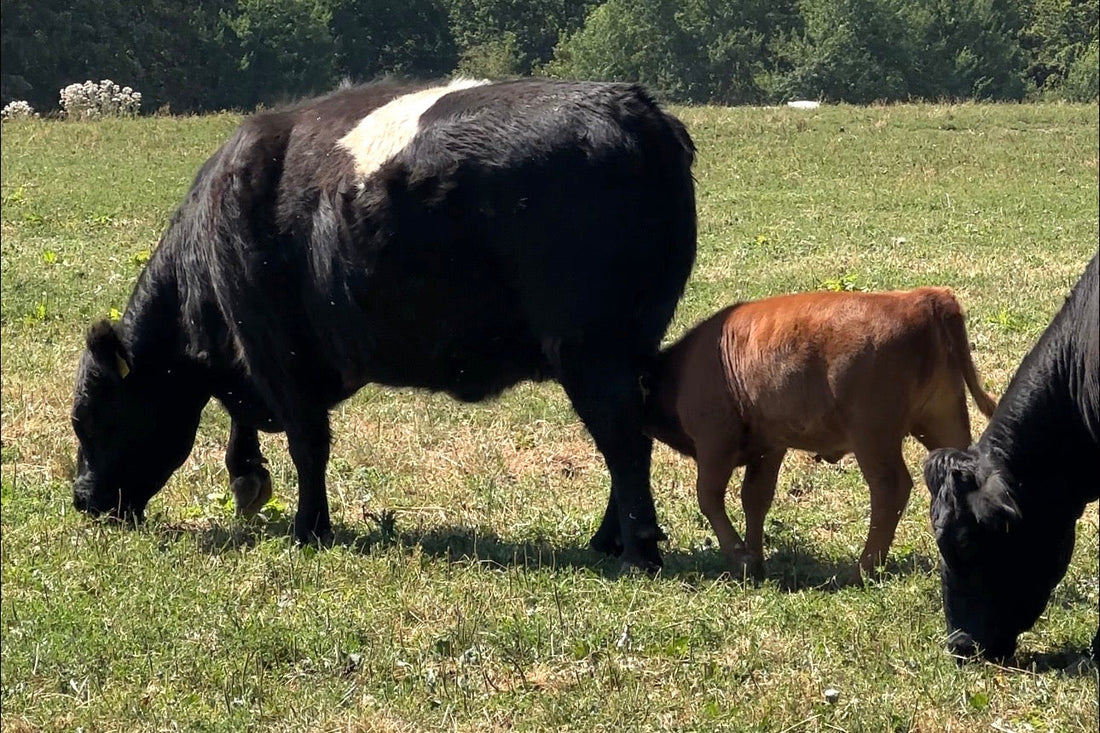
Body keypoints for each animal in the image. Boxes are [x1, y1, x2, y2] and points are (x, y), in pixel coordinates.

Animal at [70, 78, 698, 571]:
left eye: (90, 417)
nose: (81, 499)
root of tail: (636, 108)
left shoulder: (277, 352)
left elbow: (308, 443)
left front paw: (308, 529)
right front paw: (249, 478)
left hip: (590, 348)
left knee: (622, 435)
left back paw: (637, 551)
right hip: (628, 344)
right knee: (629, 435)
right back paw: (607, 541)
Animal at [642, 287, 997, 581]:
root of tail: (923, 298)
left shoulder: (714, 444)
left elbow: (709, 497)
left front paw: (741, 559)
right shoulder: (769, 448)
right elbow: (755, 498)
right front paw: (756, 560)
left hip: (873, 437)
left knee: (890, 488)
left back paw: (861, 570)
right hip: (941, 420)